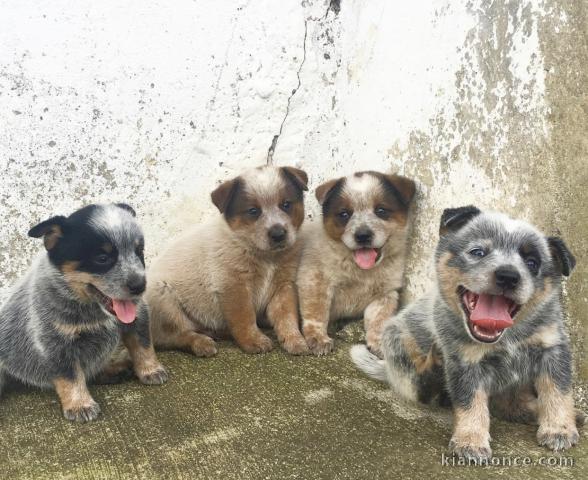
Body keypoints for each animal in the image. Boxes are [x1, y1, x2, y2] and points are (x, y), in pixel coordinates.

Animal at [0, 204, 168, 422]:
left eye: (139, 252)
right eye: (102, 258)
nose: (140, 286)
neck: (91, 309)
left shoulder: (138, 318)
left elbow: (143, 346)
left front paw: (151, 370)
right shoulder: (56, 341)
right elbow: (70, 375)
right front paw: (80, 404)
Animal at [147, 165, 310, 356]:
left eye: (286, 204)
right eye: (253, 211)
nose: (278, 234)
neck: (266, 257)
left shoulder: (283, 286)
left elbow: (287, 316)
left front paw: (295, 340)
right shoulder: (233, 286)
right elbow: (244, 317)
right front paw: (253, 340)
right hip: (164, 300)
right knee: (174, 336)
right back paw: (201, 343)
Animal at [296, 172, 416, 356]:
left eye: (381, 210)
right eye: (345, 214)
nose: (363, 235)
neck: (360, 271)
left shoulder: (385, 295)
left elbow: (379, 321)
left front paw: (379, 343)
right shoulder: (314, 282)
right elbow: (316, 313)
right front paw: (318, 338)